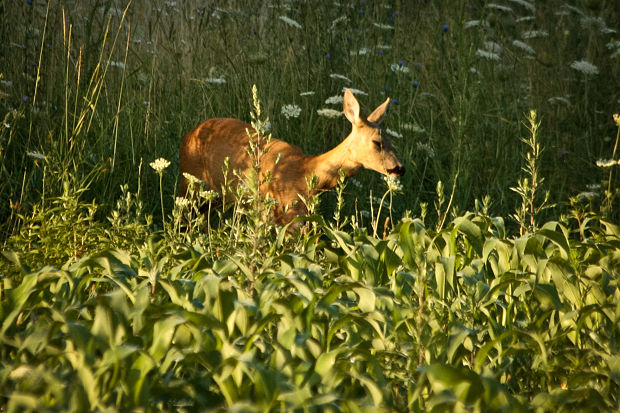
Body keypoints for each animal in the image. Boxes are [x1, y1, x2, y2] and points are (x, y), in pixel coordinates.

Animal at [177, 87, 404, 225]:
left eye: (392, 141)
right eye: (377, 142)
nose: (399, 168)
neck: (305, 173)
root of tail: (189, 135)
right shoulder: (280, 213)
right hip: (189, 184)